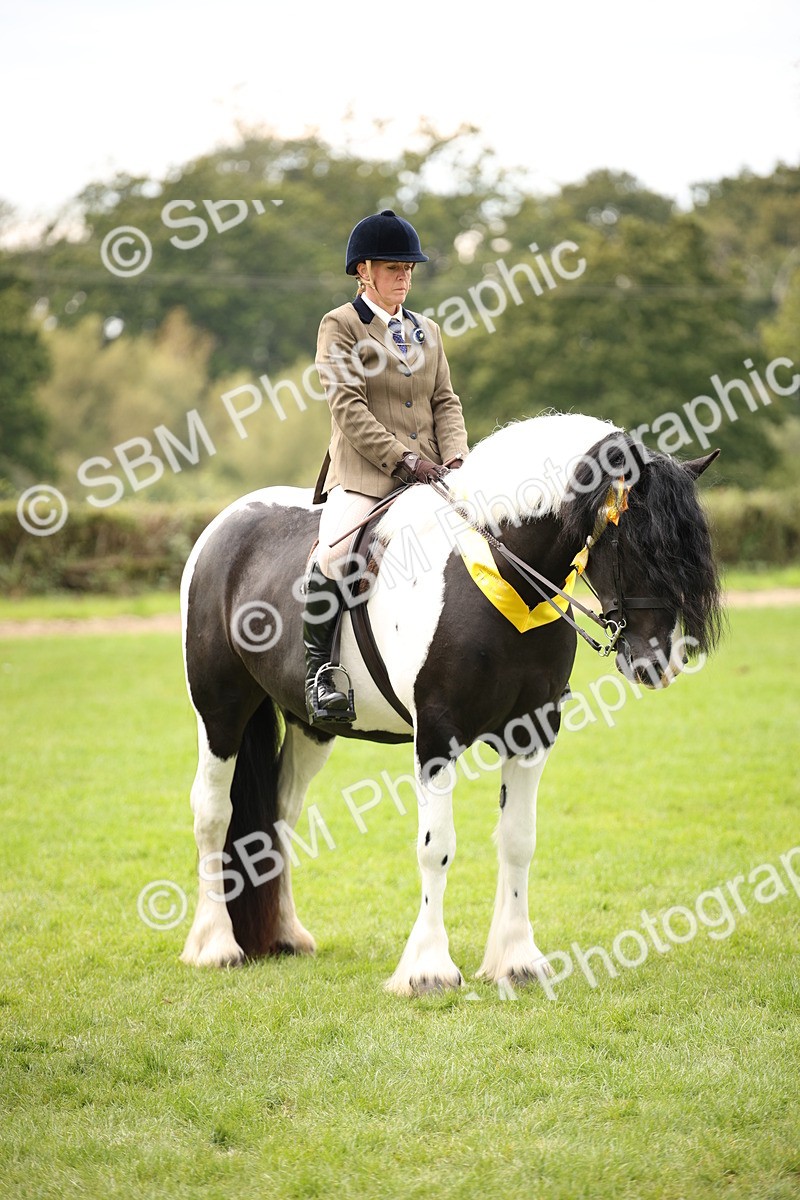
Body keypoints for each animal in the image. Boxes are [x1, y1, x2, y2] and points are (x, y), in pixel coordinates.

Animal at [178, 411, 723, 994]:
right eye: (634, 545)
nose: (660, 662)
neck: (496, 575)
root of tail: (225, 523)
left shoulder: (532, 732)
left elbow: (518, 839)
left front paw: (517, 960)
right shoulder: (437, 736)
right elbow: (435, 846)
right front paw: (428, 969)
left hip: (310, 726)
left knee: (279, 816)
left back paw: (285, 935)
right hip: (220, 709)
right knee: (212, 812)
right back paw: (215, 945)